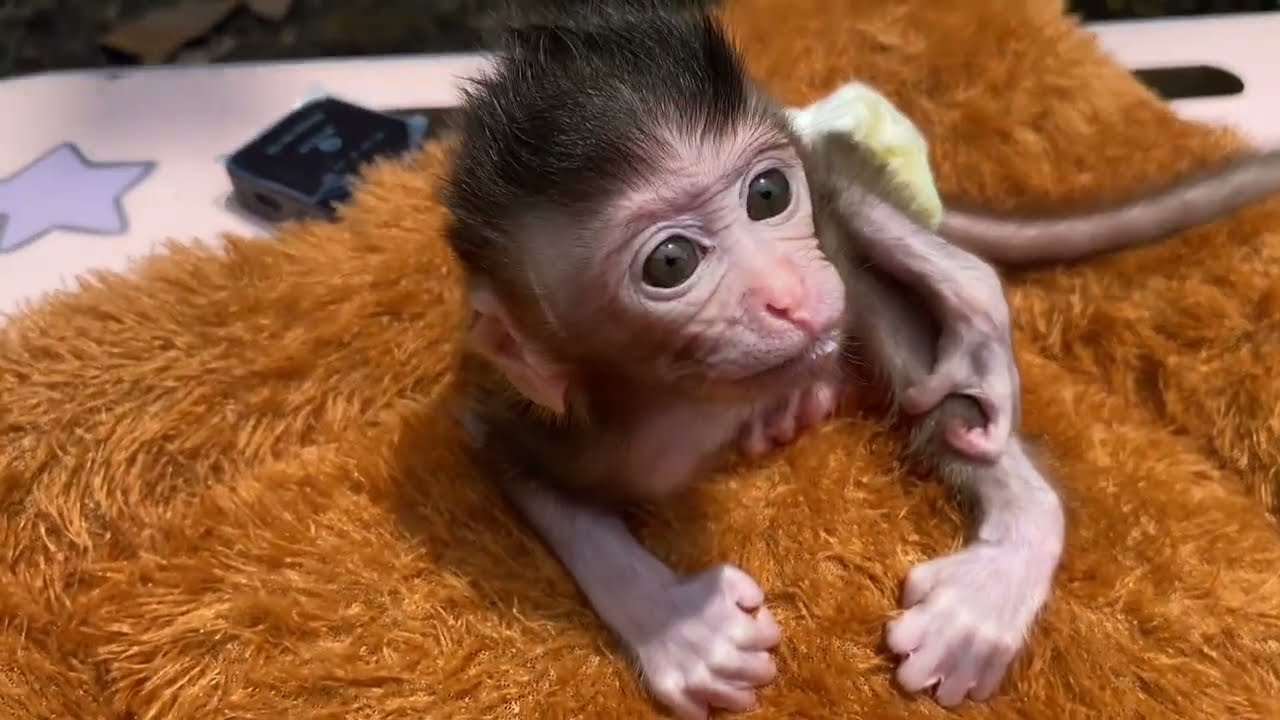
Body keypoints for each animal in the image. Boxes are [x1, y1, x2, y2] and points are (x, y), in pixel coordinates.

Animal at [436, 2, 1280, 717]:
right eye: (670, 263)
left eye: (768, 194)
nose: (786, 294)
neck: (689, 400)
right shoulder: (554, 413)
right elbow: (508, 457)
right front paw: (675, 624)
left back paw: (1012, 534)